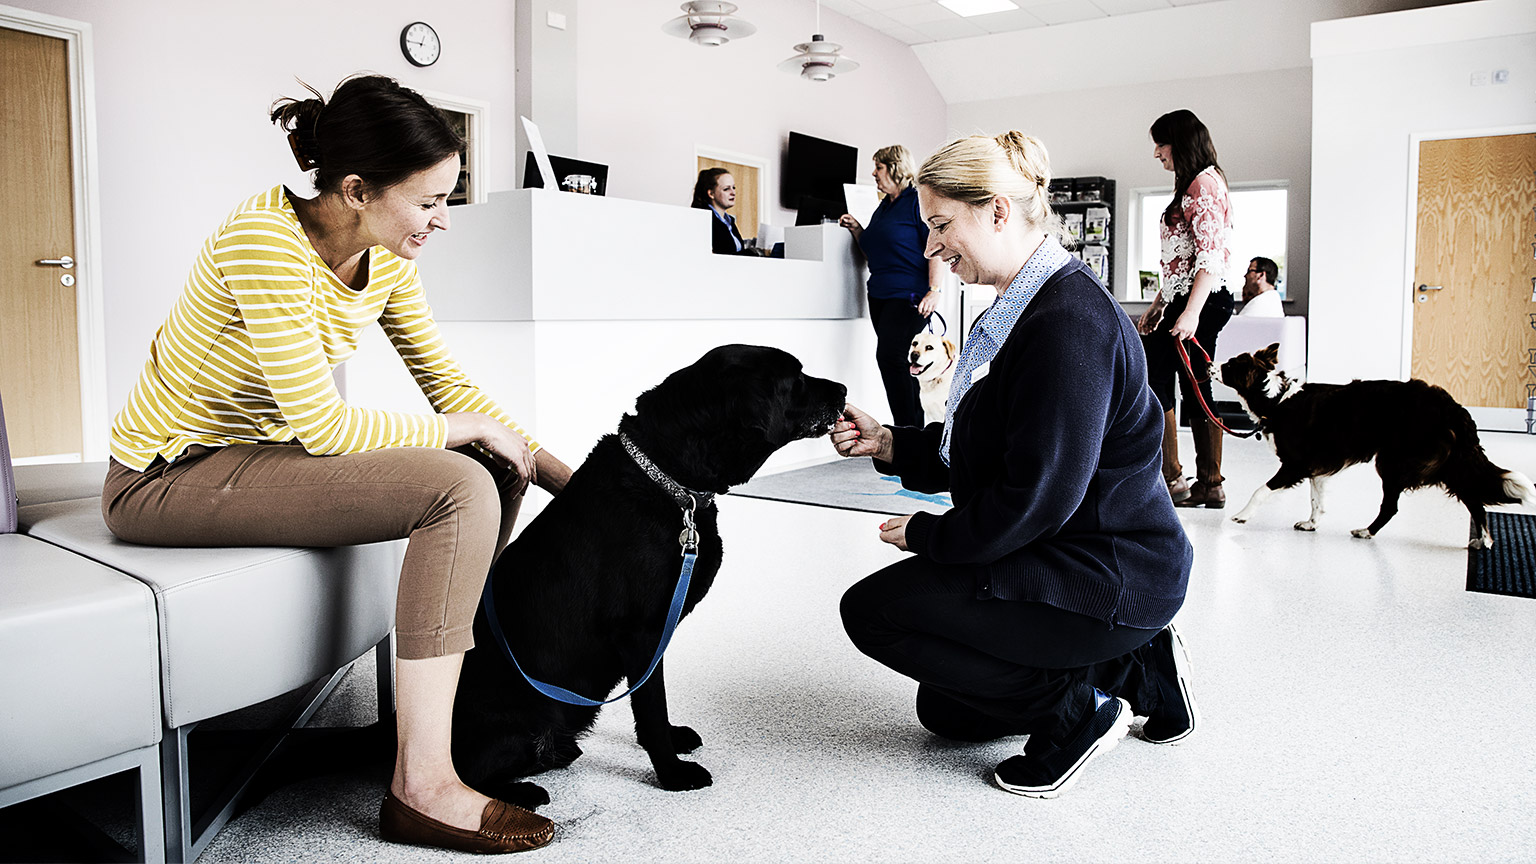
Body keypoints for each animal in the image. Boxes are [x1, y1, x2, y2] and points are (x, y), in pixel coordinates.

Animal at [448, 342, 847, 805]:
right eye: (796, 377)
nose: (844, 389)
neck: (671, 480)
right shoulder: (639, 631)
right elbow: (652, 708)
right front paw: (672, 773)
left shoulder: (656, 634)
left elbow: (655, 703)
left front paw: (673, 743)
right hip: (523, 721)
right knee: (465, 773)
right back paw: (523, 794)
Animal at [1216, 339, 1529, 541]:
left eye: (1229, 366)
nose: (1209, 364)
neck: (1277, 399)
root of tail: (1453, 407)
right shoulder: (1315, 468)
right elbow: (1317, 500)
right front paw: (1311, 524)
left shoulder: (1295, 465)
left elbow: (1261, 490)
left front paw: (1242, 515)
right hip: (1447, 464)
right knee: (1473, 498)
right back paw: (1483, 540)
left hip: (1395, 462)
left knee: (1392, 506)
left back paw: (1367, 531)